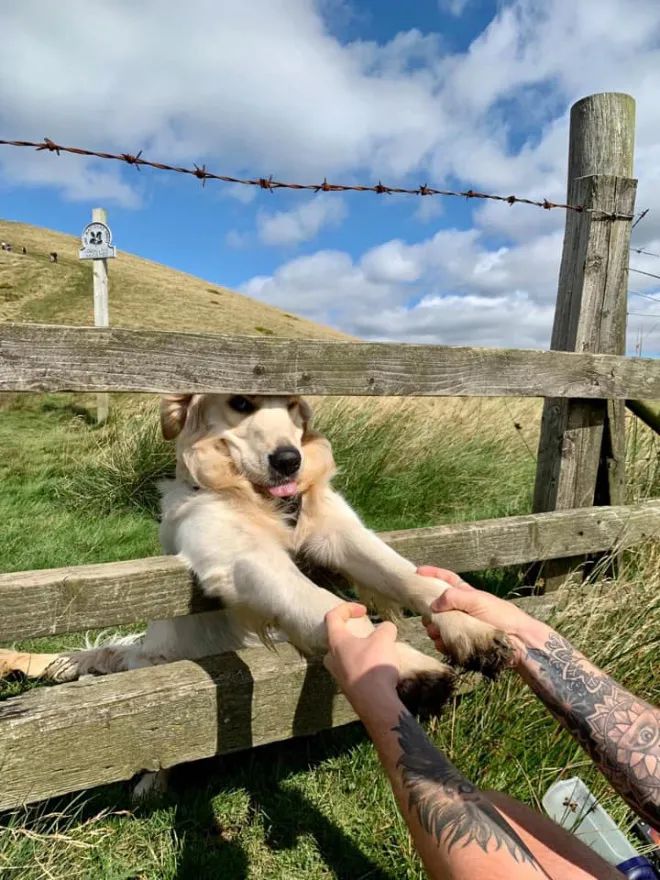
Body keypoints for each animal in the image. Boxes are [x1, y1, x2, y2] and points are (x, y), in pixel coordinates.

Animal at [0, 392, 510, 784]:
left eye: (293, 406)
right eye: (240, 403)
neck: (258, 499)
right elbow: (321, 602)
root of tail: (137, 649)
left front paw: (469, 626)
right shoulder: (243, 559)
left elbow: (406, 576)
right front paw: (400, 664)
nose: (289, 460)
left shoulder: (340, 534)